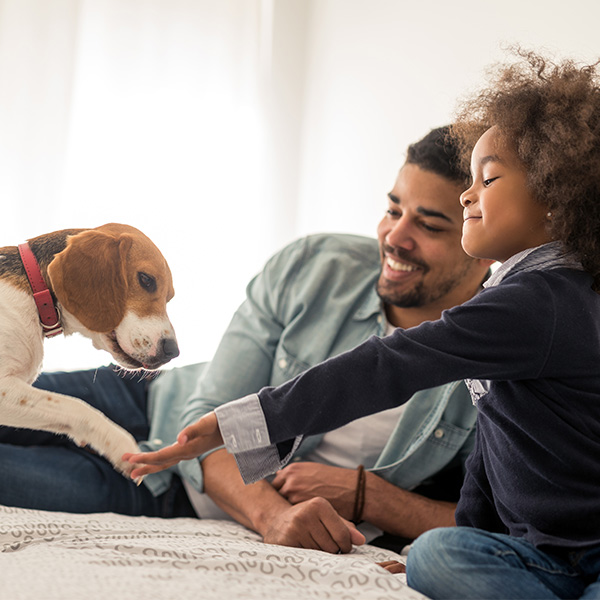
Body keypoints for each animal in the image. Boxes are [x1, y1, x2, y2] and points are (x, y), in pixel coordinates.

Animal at [0, 224, 178, 478]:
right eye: (146, 279)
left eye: (169, 298)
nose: (173, 351)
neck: (35, 295)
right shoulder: (5, 388)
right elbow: (76, 405)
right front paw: (120, 444)